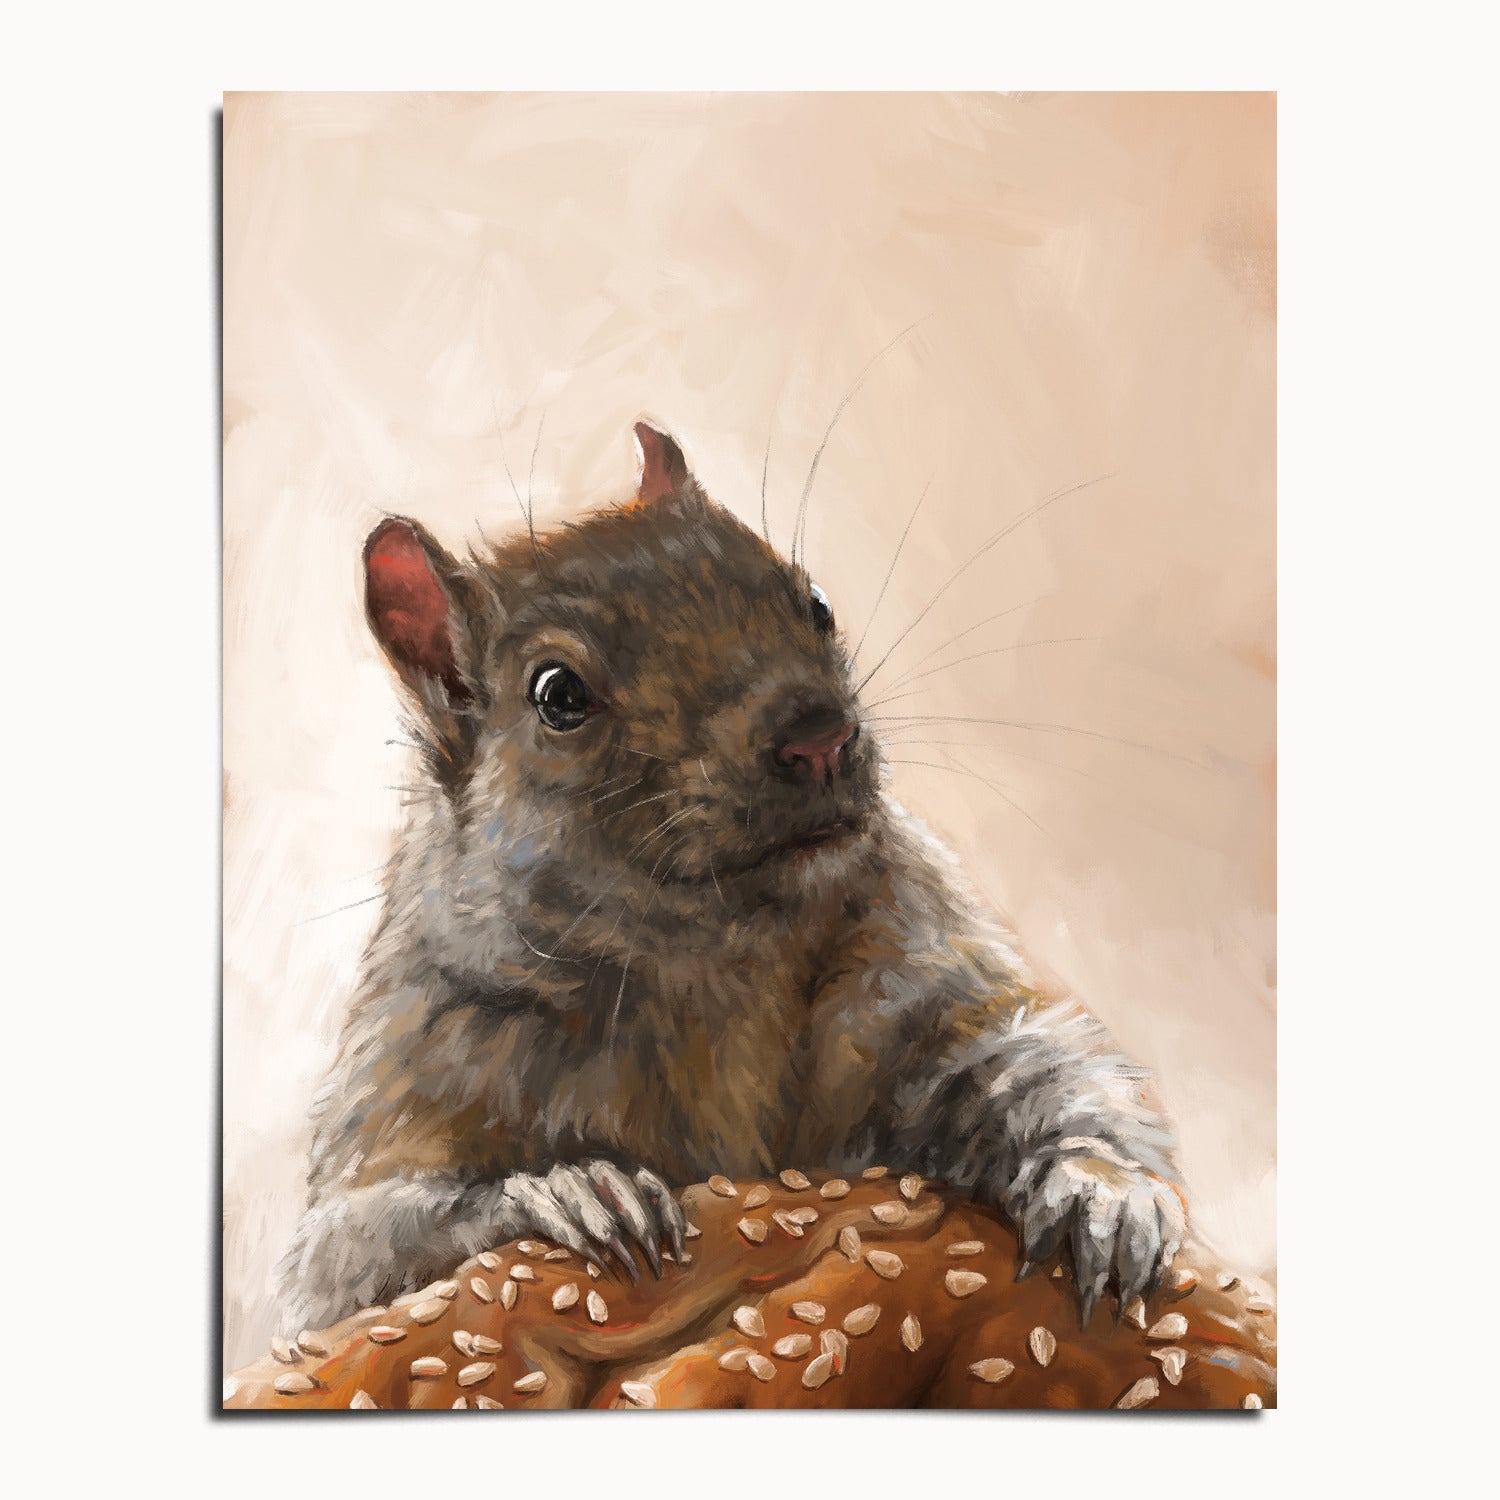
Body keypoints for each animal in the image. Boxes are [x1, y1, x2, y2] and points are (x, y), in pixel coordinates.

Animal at [275, 421, 1186, 1338]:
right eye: (558, 694)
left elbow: (1040, 1061)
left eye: (815, 602)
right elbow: (348, 1260)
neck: (721, 962)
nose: (820, 736)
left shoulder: (918, 980)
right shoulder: (416, 1066)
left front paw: (1103, 1192)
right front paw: (570, 1189)